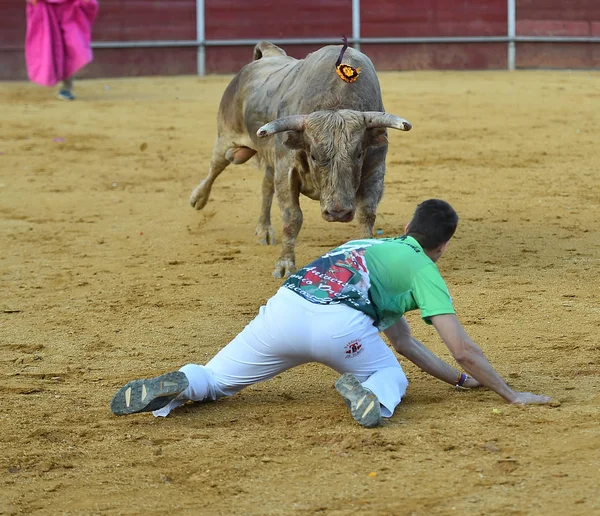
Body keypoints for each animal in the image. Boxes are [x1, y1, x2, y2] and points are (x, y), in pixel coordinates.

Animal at [190, 40, 410, 278]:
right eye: (313, 155)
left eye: (359, 154)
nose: (338, 212)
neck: (335, 103)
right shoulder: (286, 170)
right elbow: (292, 217)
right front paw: (284, 264)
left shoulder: (375, 171)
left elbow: (366, 214)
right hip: (227, 136)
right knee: (216, 165)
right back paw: (198, 198)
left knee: (266, 186)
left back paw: (264, 230)